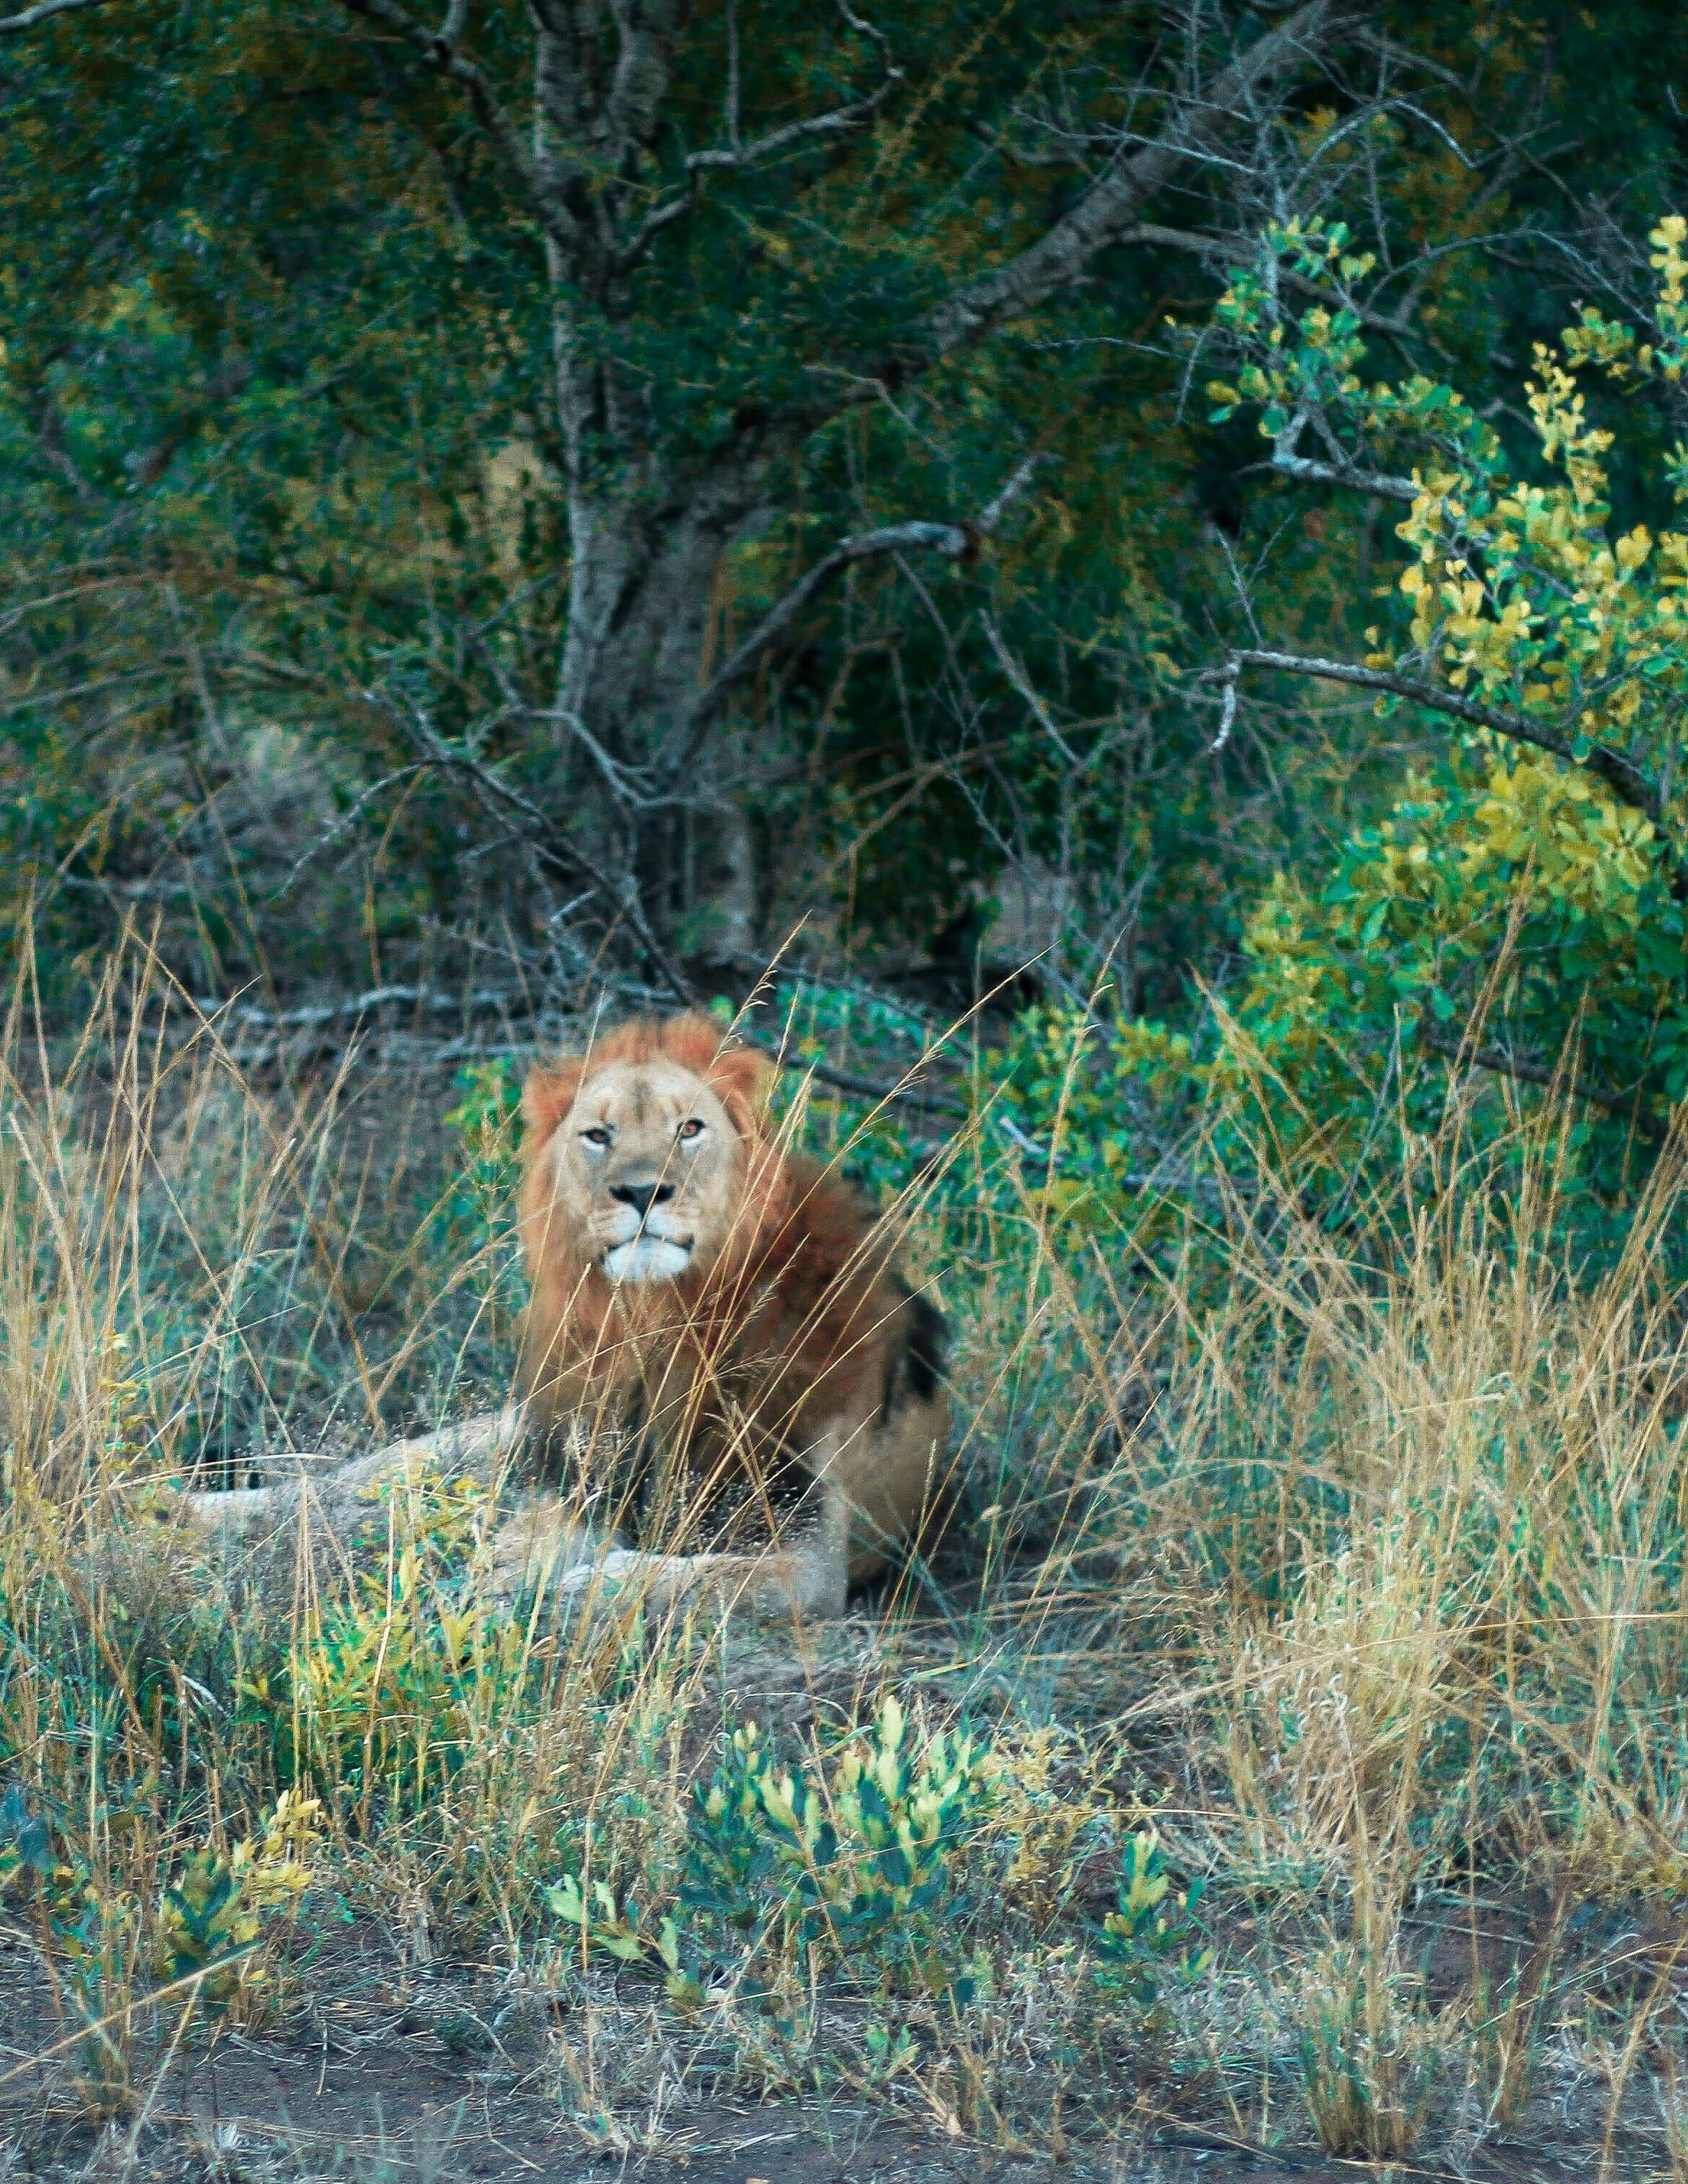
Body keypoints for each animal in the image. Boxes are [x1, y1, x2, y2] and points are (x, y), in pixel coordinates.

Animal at [175, 1013, 950, 1623]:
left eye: (690, 1129)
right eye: (598, 1135)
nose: (643, 1191)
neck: (658, 1326)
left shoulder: (811, 1548)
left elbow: (700, 1578)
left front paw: (580, 1583)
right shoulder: (577, 1477)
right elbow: (528, 1540)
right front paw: (496, 1580)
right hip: (504, 1438)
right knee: (330, 1486)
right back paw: (180, 1510)